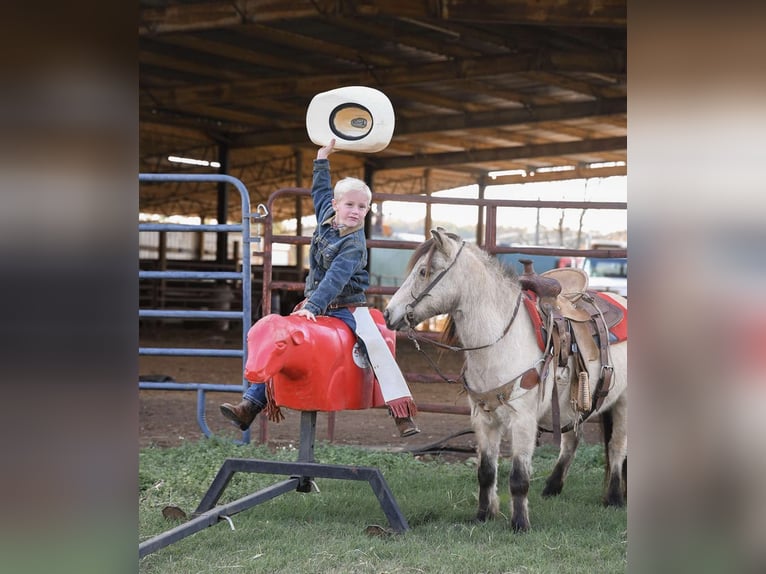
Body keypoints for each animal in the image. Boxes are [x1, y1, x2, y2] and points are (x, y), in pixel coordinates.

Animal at [384, 228, 632, 532]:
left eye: (423, 271)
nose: (388, 313)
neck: (500, 341)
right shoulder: (483, 418)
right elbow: (486, 471)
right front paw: (483, 514)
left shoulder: (523, 420)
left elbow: (518, 477)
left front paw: (520, 523)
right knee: (572, 440)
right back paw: (552, 487)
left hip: (623, 403)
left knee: (617, 446)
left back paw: (614, 497)